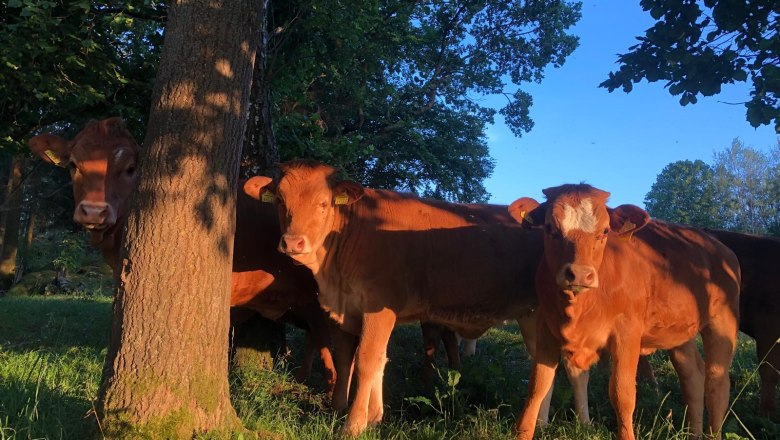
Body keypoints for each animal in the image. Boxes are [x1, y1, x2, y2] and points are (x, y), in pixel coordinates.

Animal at [242, 159, 591, 437]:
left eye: (323, 203)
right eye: (280, 201)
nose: (293, 242)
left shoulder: (378, 307)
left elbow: (367, 361)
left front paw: (352, 425)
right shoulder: (349, 309)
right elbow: (355, 359)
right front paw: (357, 413)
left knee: (564, 365)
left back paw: (573, 423)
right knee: (545, 364)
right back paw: (542, 423)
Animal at [509, 184, 740, 440]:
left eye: (605, 230)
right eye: (550, 228)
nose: (579, 274)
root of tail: (720, 246)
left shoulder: (627, 332)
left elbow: (622, 395)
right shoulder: (546, 327)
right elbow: (537, 386)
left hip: (723, 323)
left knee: (717, 384)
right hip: (680, 333)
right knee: (693, 378)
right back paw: (694, 433)